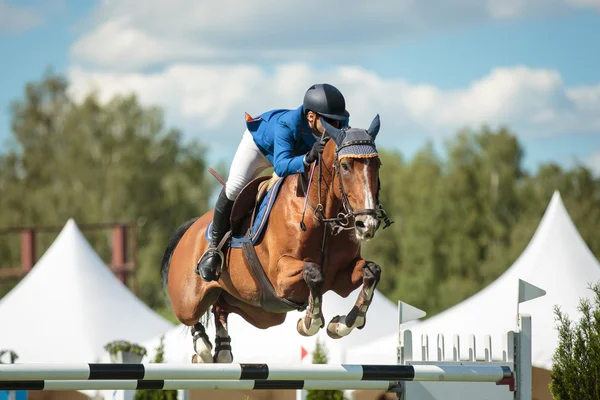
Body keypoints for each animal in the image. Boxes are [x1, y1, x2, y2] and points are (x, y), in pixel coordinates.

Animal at [159, 114, 394, 364]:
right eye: (345, 166)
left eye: (377, 165)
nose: (367, 225)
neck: (320, 213)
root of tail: (190, 228)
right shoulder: (281, 276)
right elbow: (314, 273)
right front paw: (309, 322)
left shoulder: (340, 277)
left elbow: (372, 272)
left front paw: (341, 324)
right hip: (189, 299)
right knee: (190, 316)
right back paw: (202, 346)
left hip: (260, 311)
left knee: (221, 308)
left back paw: (222, 349)